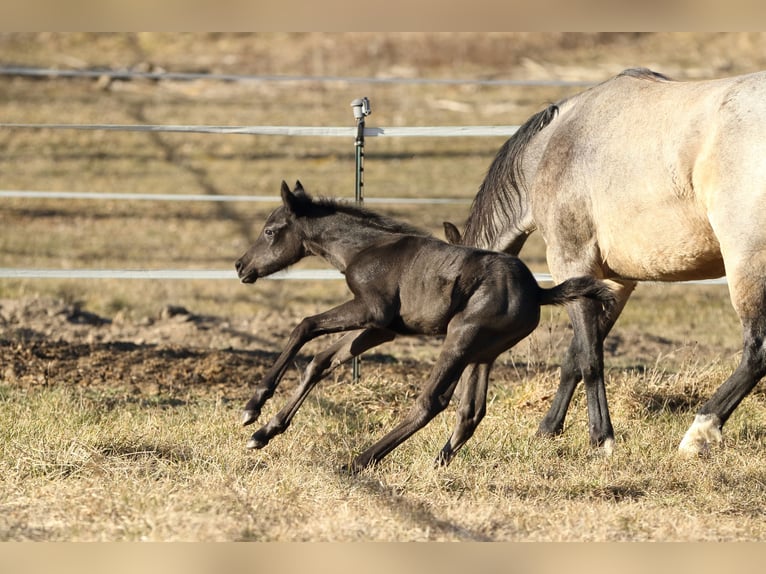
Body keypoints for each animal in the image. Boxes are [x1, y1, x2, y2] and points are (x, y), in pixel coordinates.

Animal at [237, 181, 616, 472]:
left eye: (270, 231)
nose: (241, 266)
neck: (365, 248)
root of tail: (539, 291)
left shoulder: (371, 310)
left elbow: (304, 326)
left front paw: (253, 407)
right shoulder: (382, 328)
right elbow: (321, 360)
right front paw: (265, 431)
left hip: (461, 337)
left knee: (431, 401)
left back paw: (359, 462)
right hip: (484, 351)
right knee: (471, 410)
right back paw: (438, 462)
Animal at [456, 67, 766, 456]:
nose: (457, 411)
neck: (550, 150)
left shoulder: (572, 265)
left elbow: (590, 358)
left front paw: (601, 439)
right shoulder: (613, 283)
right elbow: (575, 357)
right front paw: (548, 429)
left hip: (746, 265)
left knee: (757, 351)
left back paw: (699, 433)